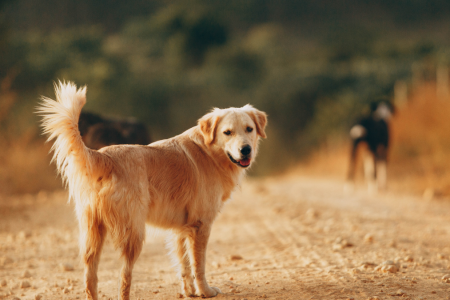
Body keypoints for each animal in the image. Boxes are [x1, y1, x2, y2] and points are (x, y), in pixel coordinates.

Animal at [37, 81, 268, 298]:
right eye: (227, 132)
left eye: (249, 129)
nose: (245, 150)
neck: (209, 151)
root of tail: (104, 156)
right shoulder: (200, 226)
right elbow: (198, 265)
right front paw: (205, 291)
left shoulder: (181, 229)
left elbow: (184, 265)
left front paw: (189, 292)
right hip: (134, 235)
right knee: (124, 278)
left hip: (92, 233)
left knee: (90, 278)